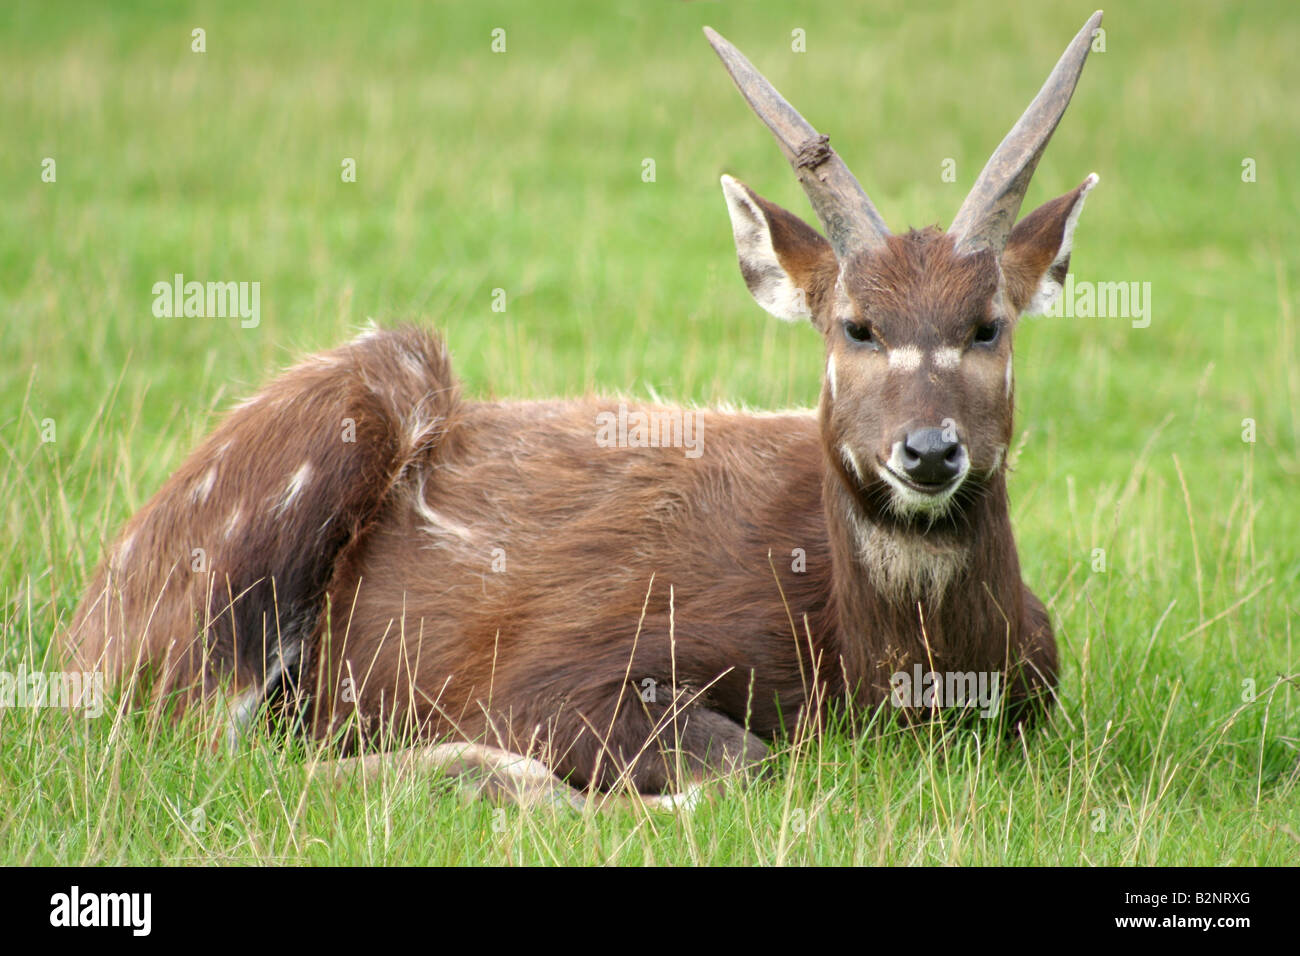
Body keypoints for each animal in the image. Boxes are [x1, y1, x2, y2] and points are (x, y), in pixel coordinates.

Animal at [58, 11, 1097, 811]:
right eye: (858, 326)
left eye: (988, 325)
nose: (928, 452)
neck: (880, 673)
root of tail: (81, 633)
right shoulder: (550, 675)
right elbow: (748, 764)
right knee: (200, 750)